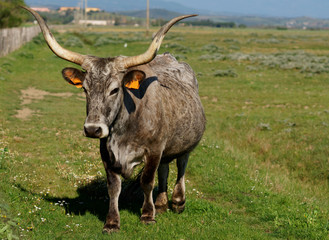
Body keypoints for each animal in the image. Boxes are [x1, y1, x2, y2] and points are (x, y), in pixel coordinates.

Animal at [22, 6, 205, 234]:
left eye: (115, 89)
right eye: (85, 89)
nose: (93, 129)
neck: (124, 129)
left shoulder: (154, 150)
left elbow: (147, 181)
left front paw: (147, 215)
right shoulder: (107, 154)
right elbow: (113, 187)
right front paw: (112, 222)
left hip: (186, 144)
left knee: (181, 165)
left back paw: (178, 201)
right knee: (165, 168)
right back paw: (162, 204)